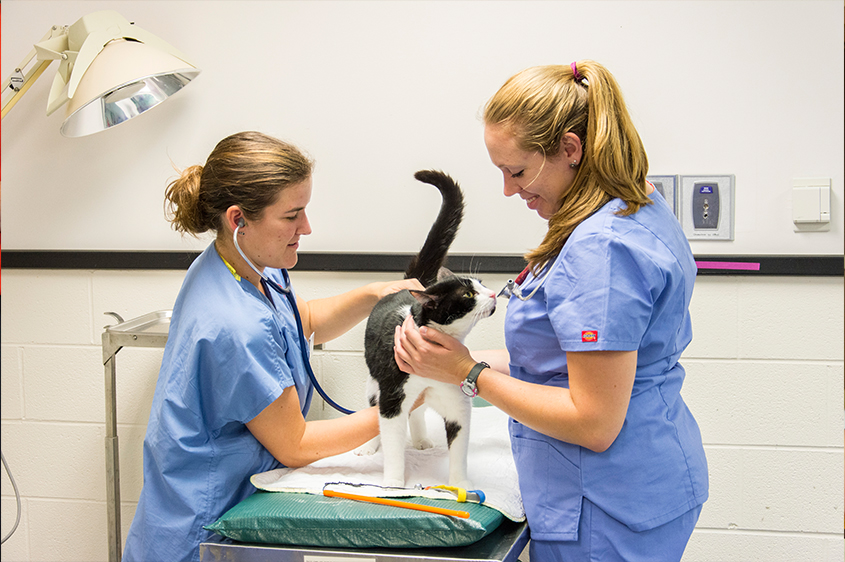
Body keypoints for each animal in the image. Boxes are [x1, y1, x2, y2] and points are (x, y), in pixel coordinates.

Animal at [354, 170, 494, 486]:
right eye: (469, 294)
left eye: (481, 284)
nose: (493, 294)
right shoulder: (392, 397)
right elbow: (392, 440)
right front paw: (394, 485)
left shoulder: (457, 398)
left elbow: (459, 447)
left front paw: (460, 486)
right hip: (374, 380)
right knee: (371, 408)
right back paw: (369, 446)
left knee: (416, 413)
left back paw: (420, 440)